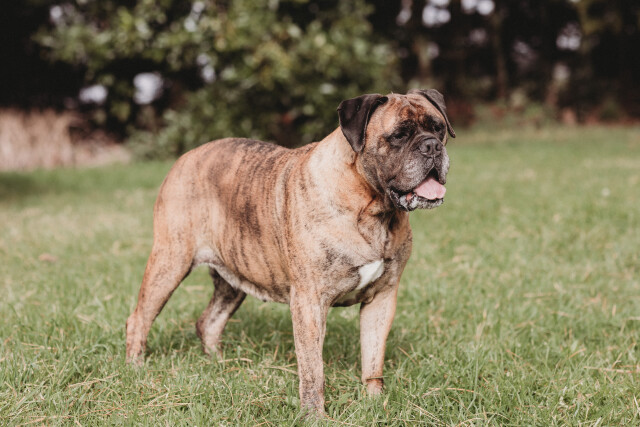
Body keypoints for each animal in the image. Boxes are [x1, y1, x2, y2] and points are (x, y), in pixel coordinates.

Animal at [126, 89, 455, 413]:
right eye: (398, 135)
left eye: (439, 128)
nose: (431, 146)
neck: (372, 207)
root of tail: (185, 158)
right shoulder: (309, 302)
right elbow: (313, 368)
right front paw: (315, 415)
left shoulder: (382, 298)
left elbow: (373, 359)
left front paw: (375, 403)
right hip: (170, 262)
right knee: (139, 318)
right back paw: (136, 369)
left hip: (233, 280)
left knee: (209, 322)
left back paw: (219, 366)